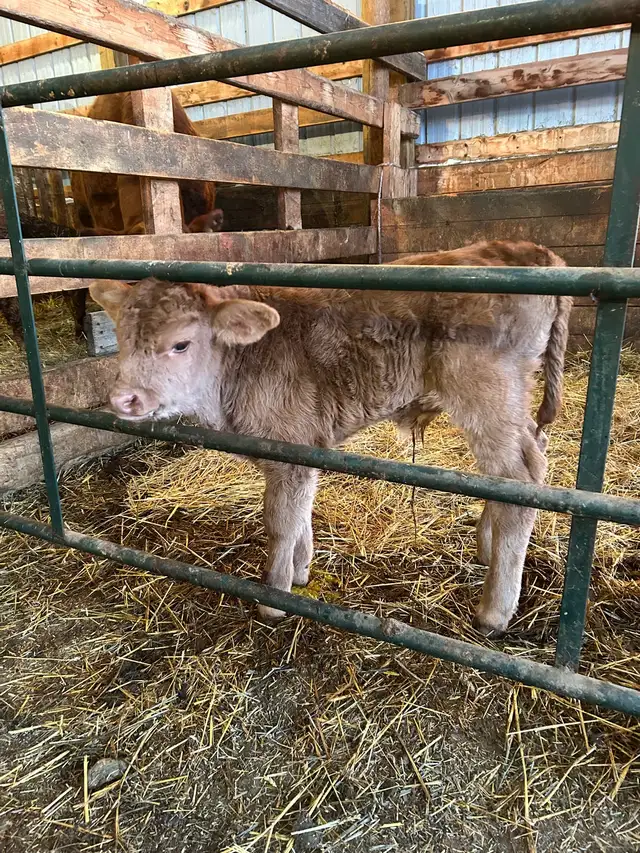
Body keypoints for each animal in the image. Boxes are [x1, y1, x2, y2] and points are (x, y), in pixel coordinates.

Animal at [89, 240, 572, 637]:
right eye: (122, 340)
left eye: (181, 345)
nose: (124, 398)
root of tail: (529, 250)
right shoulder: (306, 447)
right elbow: (299, 515)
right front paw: (301, 570)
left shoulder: (290, 450)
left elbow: (279, 522)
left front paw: (274, 598)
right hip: (512, 400)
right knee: (526, 461)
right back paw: (487, 547)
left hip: (485, 390)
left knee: (522, 479)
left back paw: (494, 610)